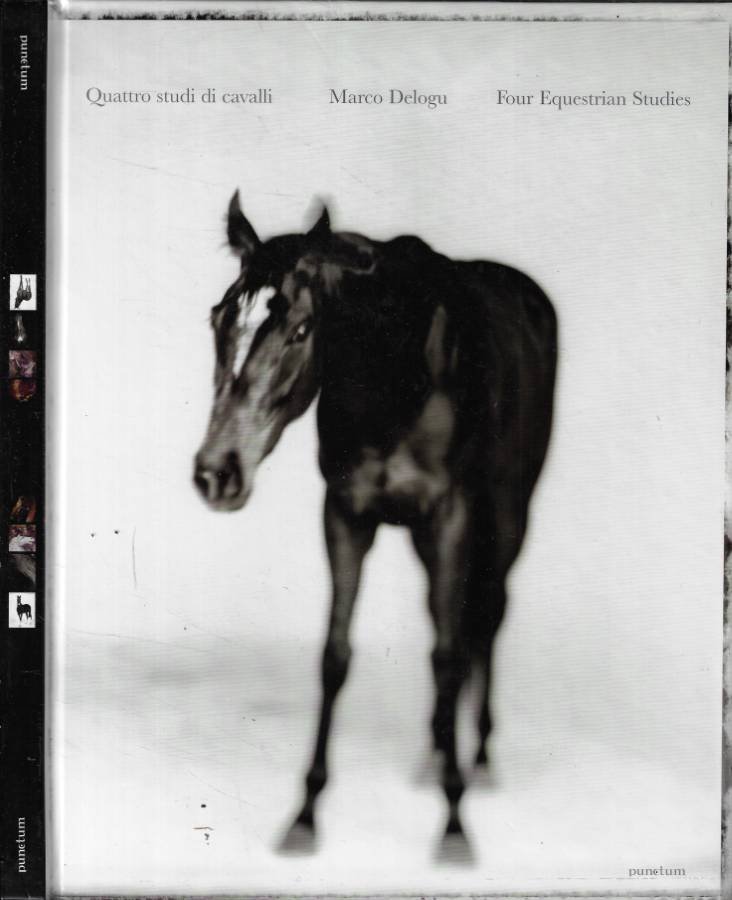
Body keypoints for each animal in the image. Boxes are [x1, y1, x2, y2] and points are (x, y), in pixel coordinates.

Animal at [194, 192, 557, 856]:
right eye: (217, 321)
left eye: (301, 329)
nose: (216, 474)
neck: (397, 371)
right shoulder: (345, 513)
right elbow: (336, 656)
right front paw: (305, 814)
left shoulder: (451, 514)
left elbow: (447, 653)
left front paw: (454, 822)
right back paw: (436, 755)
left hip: (509, 510)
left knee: (488, 613)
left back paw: (479, 760)